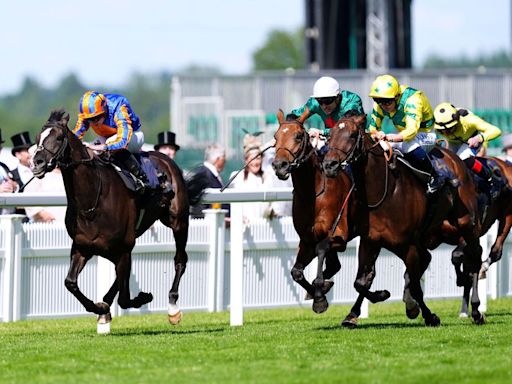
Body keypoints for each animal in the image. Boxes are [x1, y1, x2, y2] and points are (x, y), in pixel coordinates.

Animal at [30, 110, 202, 328]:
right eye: (38, 138)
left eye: (59, 137)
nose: (37, 163)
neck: (91, 203)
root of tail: (167, 161)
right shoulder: (83, 247)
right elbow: (71, 283)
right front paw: (100, 308)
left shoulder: (122, 249)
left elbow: (125, 298)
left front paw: (143, 297)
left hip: (178, 222)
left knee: (180, 260)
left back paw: (173, 308)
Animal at [272, 109, 388, 314]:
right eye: (275, 137)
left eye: (298, 136)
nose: (280, 165)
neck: (313, 193)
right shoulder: (307, 240)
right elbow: (297, 272)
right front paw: (319, 293)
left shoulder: (338, 237)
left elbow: (324, 256)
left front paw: (319, 296)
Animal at [322, 115, 486, 326]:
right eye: (330, 135)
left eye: (351, 135)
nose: (329, 165)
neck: (383, 192)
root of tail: (455, 158)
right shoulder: (371, 241)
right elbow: (361, 282)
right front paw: (372, 301)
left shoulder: (408, 245)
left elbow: (415, 285)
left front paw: (429, 315)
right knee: (430, 259)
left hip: (467, 223)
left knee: (475, 258)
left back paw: (476, 309)